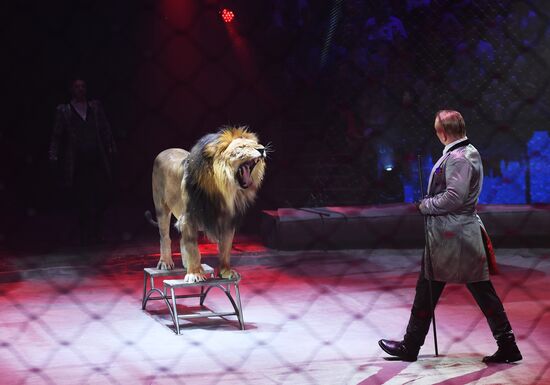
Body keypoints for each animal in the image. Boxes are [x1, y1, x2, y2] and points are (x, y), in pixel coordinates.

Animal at [147, 126, 268, 282]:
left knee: (181, 239)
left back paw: (186, 264)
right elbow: (193, 248)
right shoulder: (189, 217)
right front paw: (194, 274)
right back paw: (165, 262)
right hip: (161, 208)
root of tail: (165, 150)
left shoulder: (227, 221)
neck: (222, 187)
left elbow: (225, 249)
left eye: (256, 144)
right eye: (241, 147)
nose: (262, 149)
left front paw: (226, 272)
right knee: (165, 237)